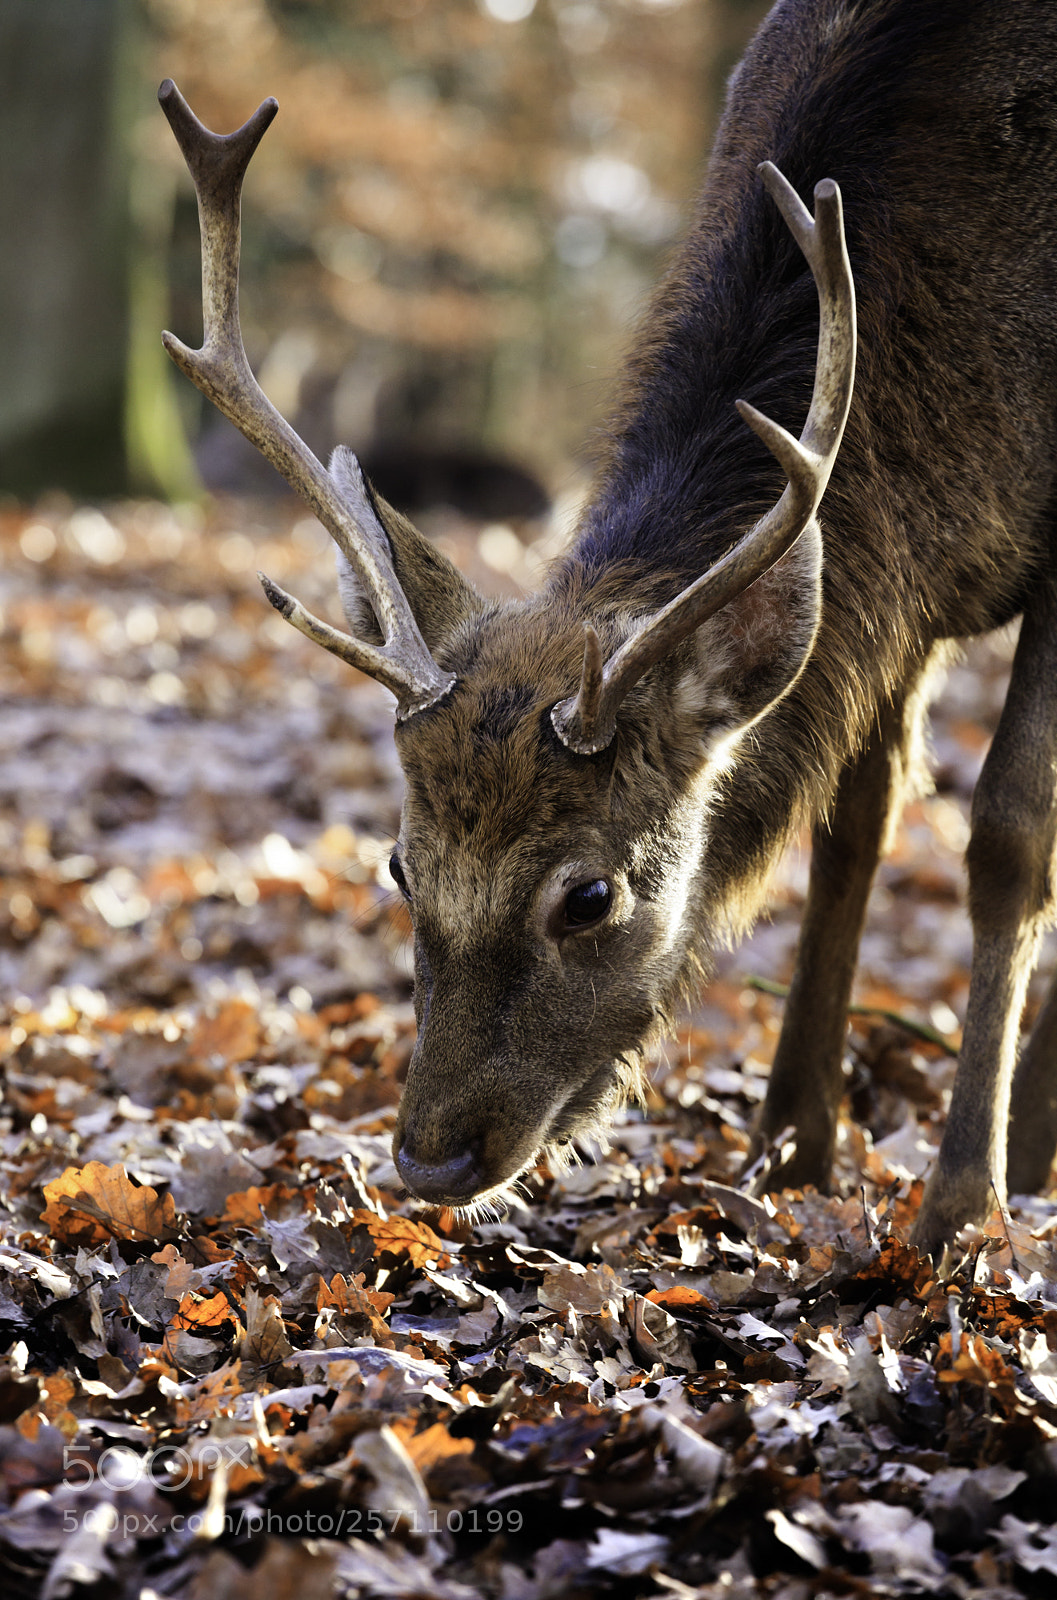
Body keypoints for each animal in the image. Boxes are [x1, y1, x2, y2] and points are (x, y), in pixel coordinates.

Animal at [158, 0, 1057, 1260]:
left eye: (587, 897)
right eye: (398, 862)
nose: (429, 1156)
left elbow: (1011, 831)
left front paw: (959, 1205)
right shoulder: (898, 603)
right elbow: (854, 825)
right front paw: (791, 1150)